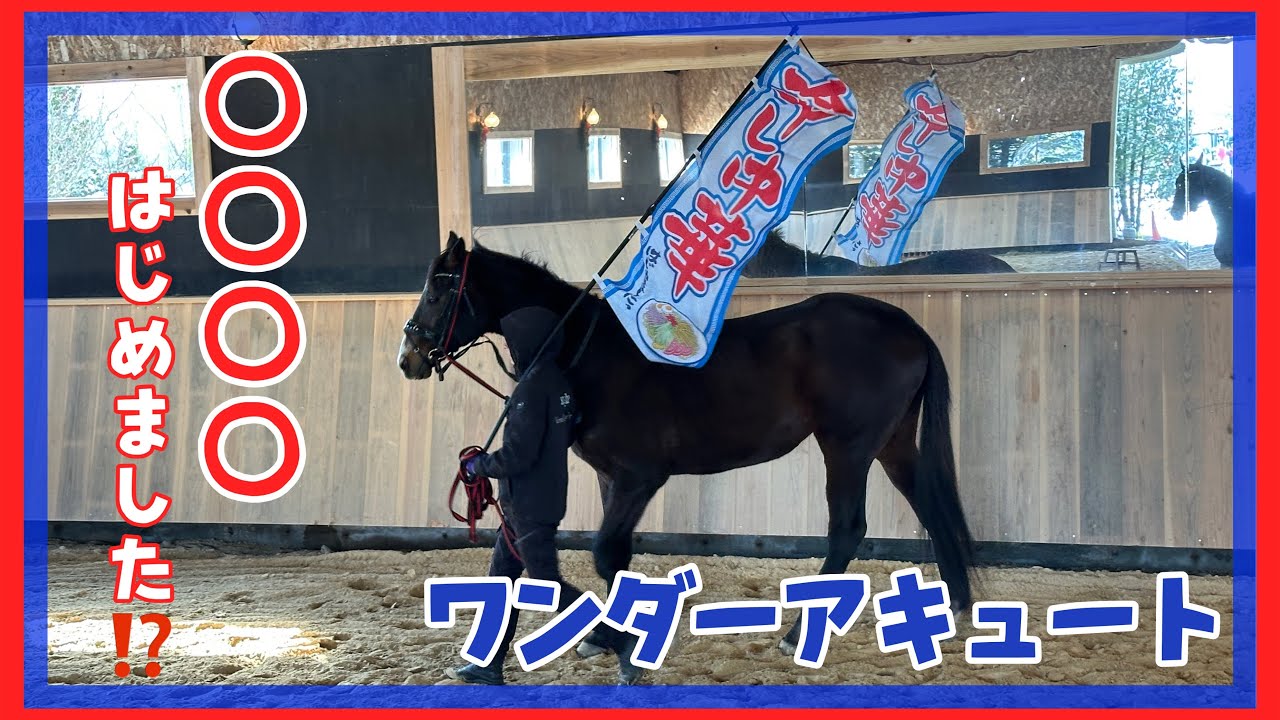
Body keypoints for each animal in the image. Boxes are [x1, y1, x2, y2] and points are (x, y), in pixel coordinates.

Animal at [399, 231, 977, 679]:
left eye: (439, 289)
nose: (408, 358)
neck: (591, 353)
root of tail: (907, 327)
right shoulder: (611, 478)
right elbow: (615, 559)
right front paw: (605, 637)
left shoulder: (638, 477)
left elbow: (605, 554)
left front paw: (613, 639)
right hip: (891, 443)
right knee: (930, 505)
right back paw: (954, 607)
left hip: (848, 447)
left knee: (848, 530)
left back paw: (796, 634)